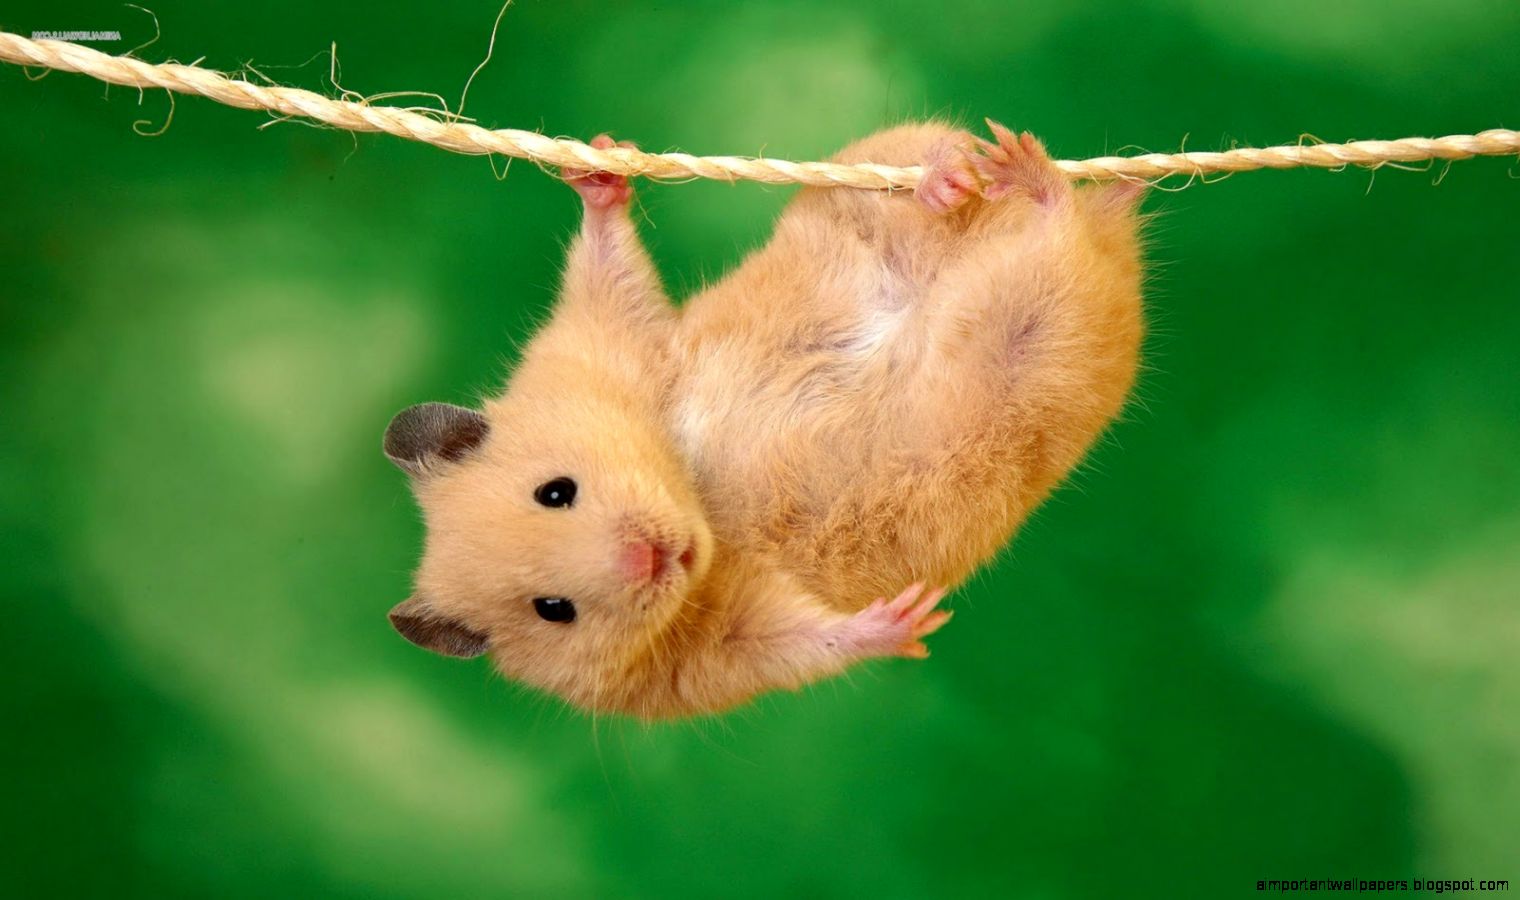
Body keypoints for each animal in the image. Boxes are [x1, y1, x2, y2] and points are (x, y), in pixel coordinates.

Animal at [383, 122, 1146, 719]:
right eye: (554, 610)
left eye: (555, 490)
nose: (653, 557)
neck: (697, 500)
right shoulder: (710, 658)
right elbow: (802, 643)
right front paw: (909, 620)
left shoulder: (612, 342)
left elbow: (609, 268)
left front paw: (599, 165)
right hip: (1042, 336)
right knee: (1060, 239)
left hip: (866, 197)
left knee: (930, 166)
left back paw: (971, 174)